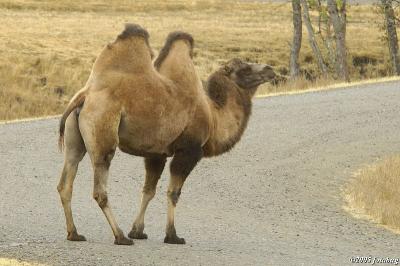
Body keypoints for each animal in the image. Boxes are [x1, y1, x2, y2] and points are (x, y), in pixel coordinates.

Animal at [56, 23, 276, 245]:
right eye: (245, 69)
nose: (270, 69)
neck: (214, 116)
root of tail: (85, 96)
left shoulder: (156, 154)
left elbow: (148, 191)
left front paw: (138, 231)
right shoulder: (189, 151)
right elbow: (173, 192)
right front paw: (172, 235)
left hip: (75, 140)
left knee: (66, 181)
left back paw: (74, 233)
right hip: (102, 129)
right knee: (100, 187)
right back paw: (120, 236)